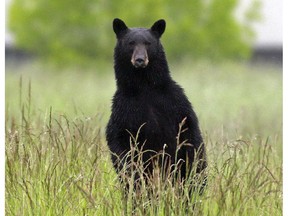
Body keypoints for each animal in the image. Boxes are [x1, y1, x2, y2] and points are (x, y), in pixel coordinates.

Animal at [106, 18, 207, 187]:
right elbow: (118, 139)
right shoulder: (123, 108)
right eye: (131, 43)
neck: (144, 87)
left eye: (148, 43)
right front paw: (131, 171)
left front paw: (194, 169)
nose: (140, 60)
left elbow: (190, 133)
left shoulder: (176, 103)